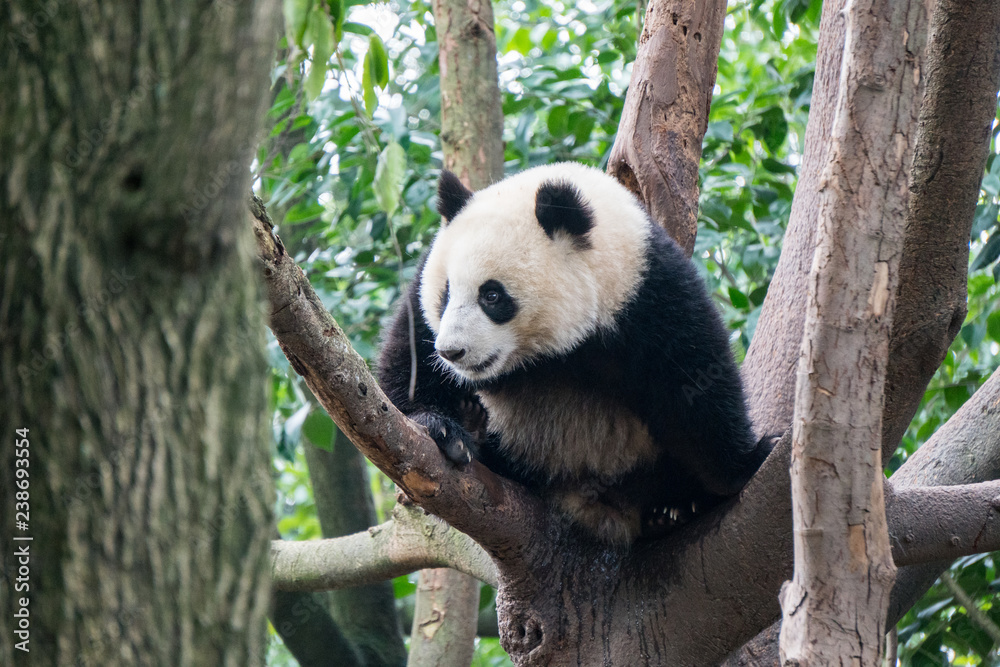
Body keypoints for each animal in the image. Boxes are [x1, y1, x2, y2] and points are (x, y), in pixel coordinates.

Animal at [377, 162, 771, 545]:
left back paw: (670, 512)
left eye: (492, 295)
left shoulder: (647, 292)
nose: (452, 352)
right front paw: (441, 427)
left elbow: (695, 384)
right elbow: (409, 357)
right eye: (446, 293)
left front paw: (740, 469)